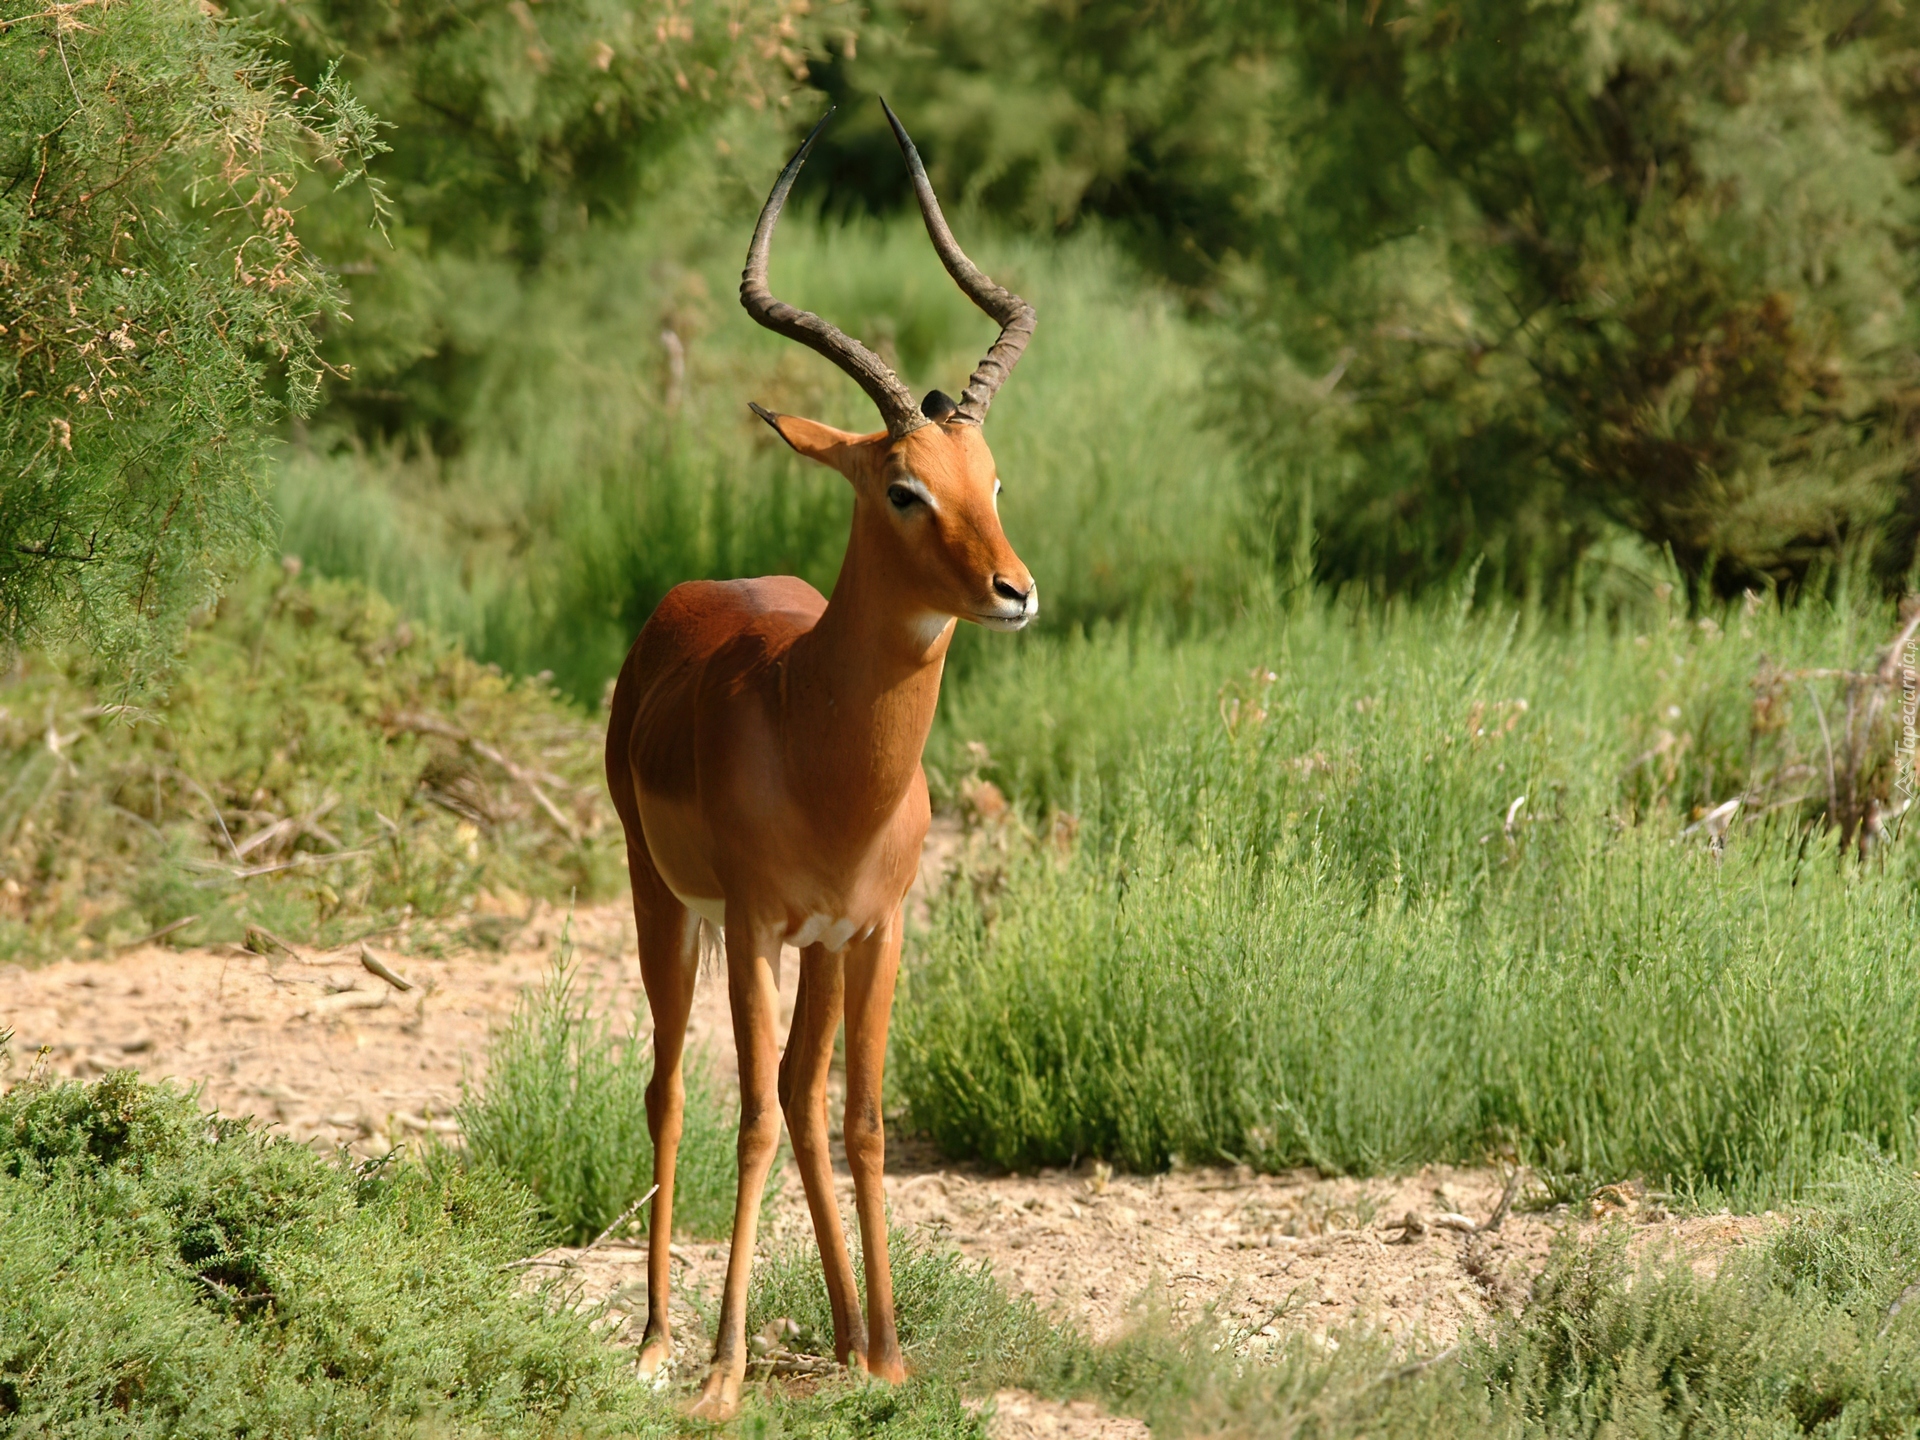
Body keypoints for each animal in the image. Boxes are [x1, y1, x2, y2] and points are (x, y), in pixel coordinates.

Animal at [610, 104, 1036, 1420]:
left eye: (989, 480)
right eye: (902, 488)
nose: (1014, 590)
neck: (830, 758)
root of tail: (690, 600)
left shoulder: (877, 927)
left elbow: (860, 1121)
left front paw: (891, 1357)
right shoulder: (753, 922)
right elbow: (745, 1117)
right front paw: (720, 1374)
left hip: (820, 951)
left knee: (805, 1096)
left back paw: (848, 1336)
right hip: (663, 904)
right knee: (677, 1088)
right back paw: (657, 1343)